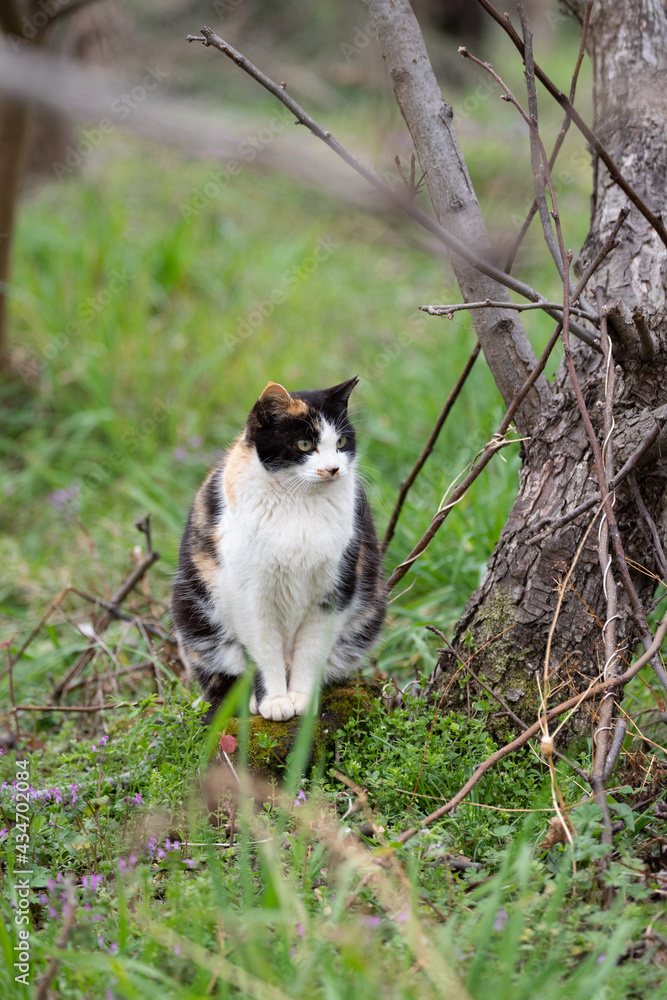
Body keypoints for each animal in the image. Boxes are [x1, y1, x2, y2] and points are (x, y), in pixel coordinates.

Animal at [172, 378, 386, 724]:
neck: (299, 503)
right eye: (304, 444)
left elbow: (311, 651)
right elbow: (263, 651)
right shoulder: (249, 595)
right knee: (220, 674)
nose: (333, 468)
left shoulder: (336, 588)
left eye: (341, 442)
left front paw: (301, 699)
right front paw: (273, 701)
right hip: (192, 610)